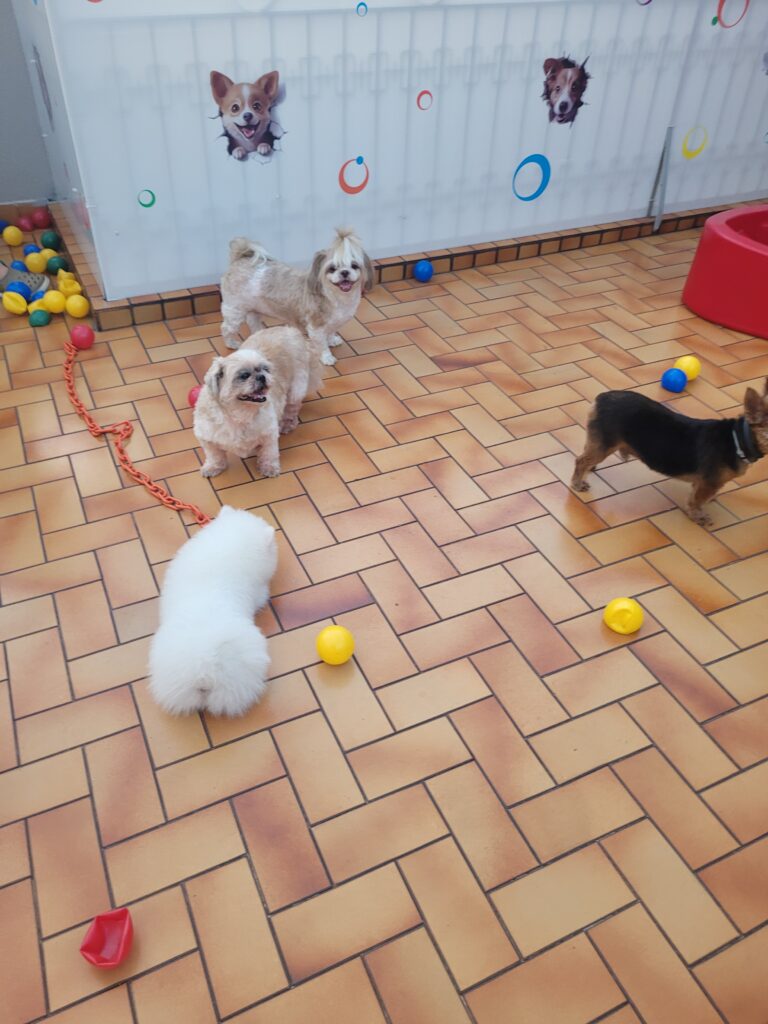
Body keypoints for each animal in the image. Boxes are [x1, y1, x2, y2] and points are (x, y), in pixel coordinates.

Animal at [194, 325, 321, 479]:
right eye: (244, 375)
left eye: (265, 369)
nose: (261, 376)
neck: (240, 415)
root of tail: (289, 329)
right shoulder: (207, 437)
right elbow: (215, 455)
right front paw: (213, 467)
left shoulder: (269, 434)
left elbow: (269, 453)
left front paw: (269, 468)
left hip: (296, 389)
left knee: (292, 408)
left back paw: (287, 424)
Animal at [220, 228, 374, 365]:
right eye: (332, 268)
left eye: (354, 266)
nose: (344, 272)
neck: (336, 296)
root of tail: (239, 259)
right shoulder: (316, 327)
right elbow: (321, 344)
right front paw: (327, 357)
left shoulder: (335, 321)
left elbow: (331, 332)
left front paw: (332, 340)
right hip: (235, 311)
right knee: (226, 328)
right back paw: (231, 342)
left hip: (254, 308)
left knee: (253, 323)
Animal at [571, 383, 768, 526]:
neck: (738, 440)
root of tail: (601, 398)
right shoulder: (708, 483)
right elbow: (696, 500)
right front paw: (698, 515)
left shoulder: (704, 482)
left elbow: (695, 494)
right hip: (605, 445)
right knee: (580, 461)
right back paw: (578, 482)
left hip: (599, 443)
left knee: (586, 453)